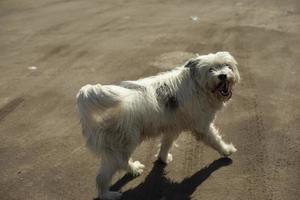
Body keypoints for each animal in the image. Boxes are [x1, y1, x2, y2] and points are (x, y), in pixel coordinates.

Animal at [76, 51, 240, 198]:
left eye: (227, 66)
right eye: (210, 69)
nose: (223, 75)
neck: (198, 86)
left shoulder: (173, 127)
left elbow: (166, 143)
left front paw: (163, 158)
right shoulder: (202, 126)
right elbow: (215, 139)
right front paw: (226, 150)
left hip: (119, 146)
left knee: (120, 163)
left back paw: (134, 169)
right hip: (121, 144)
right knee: (103, 175)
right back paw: (108, 194)